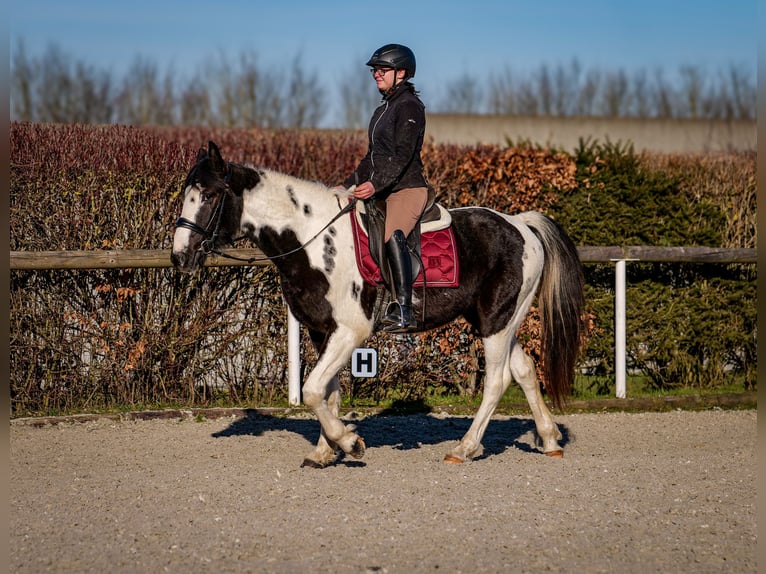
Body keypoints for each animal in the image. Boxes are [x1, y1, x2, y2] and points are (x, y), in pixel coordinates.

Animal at [171, 142, 584, 470]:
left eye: (209, 196)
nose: (180, 257)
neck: (311, 240)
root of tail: (520, 223)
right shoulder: (322, 332)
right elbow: (328, 392)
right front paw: (325, 451)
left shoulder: (350, 332)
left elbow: (312, 390)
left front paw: (349, 442)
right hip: (496, 320)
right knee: (525, 369)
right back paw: (549, 439)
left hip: (496, 321)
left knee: (497, 381)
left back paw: (464, 448)